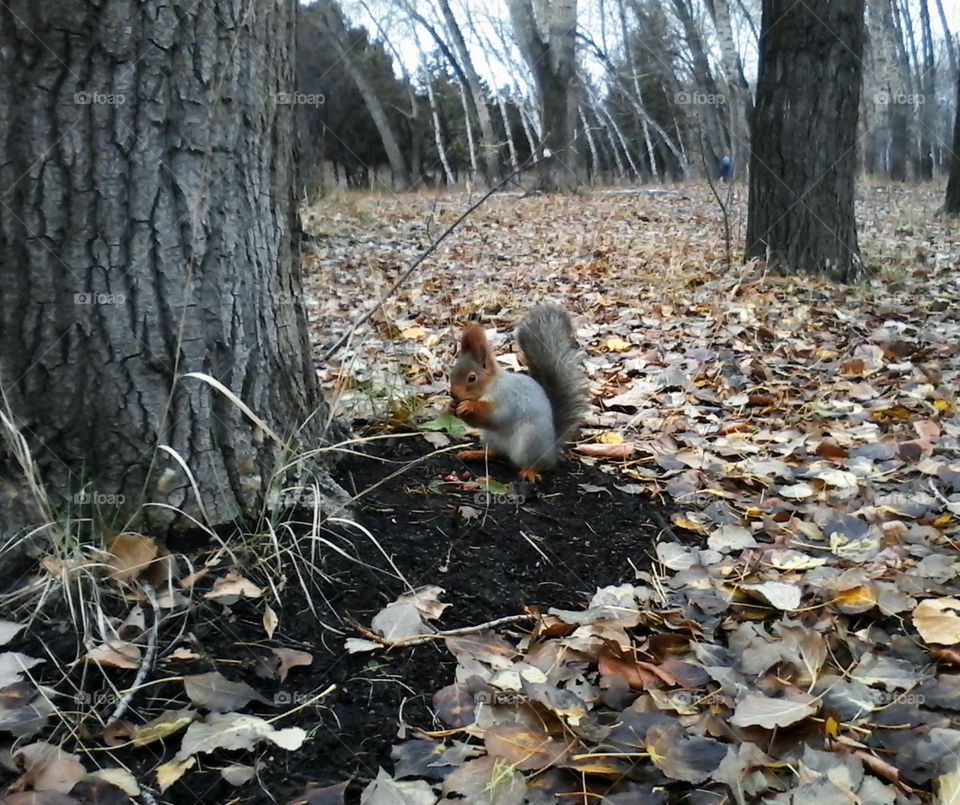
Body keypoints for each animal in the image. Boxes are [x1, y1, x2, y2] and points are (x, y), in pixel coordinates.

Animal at [449, 304, 588, 482]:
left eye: (472, 378)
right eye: (452, 373)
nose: (453, 395)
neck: (491, 386)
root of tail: (551, 450)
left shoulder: (508, 398)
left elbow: (495, 415)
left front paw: (468, 406)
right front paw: (451, 406)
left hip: (529, 442)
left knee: (538, 465)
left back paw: (530, 471)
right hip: (489, 437)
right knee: (495, 452)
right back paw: (474, 453)